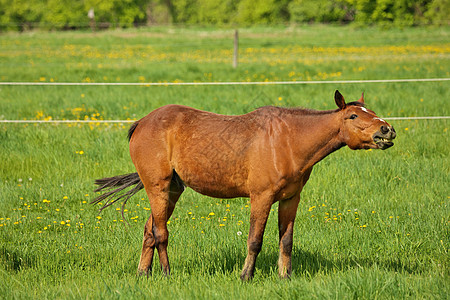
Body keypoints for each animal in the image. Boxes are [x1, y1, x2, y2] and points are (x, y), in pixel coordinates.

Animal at [93, 90, 396, 280]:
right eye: (353, 116)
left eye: (372, 112)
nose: (387, 130)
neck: (288, 140)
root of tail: (142, 122)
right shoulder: (261, 197)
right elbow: (254, 240)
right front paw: (245, 276)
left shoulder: (291, 199)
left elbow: (286, 241)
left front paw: (285, 277)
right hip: (159, 187)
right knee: (160, 233)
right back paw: (167, 274)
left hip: (173, 191)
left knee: (149, 230)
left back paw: (143, 273)